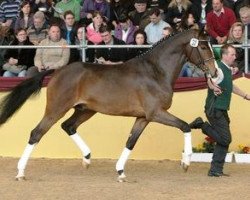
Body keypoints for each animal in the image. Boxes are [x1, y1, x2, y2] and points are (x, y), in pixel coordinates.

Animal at [0, 28, 219, 182]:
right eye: (203, 47)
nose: (215, 72)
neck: (155, 71)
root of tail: (57, 70)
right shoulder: (156, 113)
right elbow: (185, 126)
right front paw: (186, 162)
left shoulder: (143, 117)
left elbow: (131, 142)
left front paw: (120, 172)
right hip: (56, 109)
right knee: (36, 133)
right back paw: (20, 172)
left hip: (86, 110)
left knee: (68, 126)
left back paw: (87, 158)